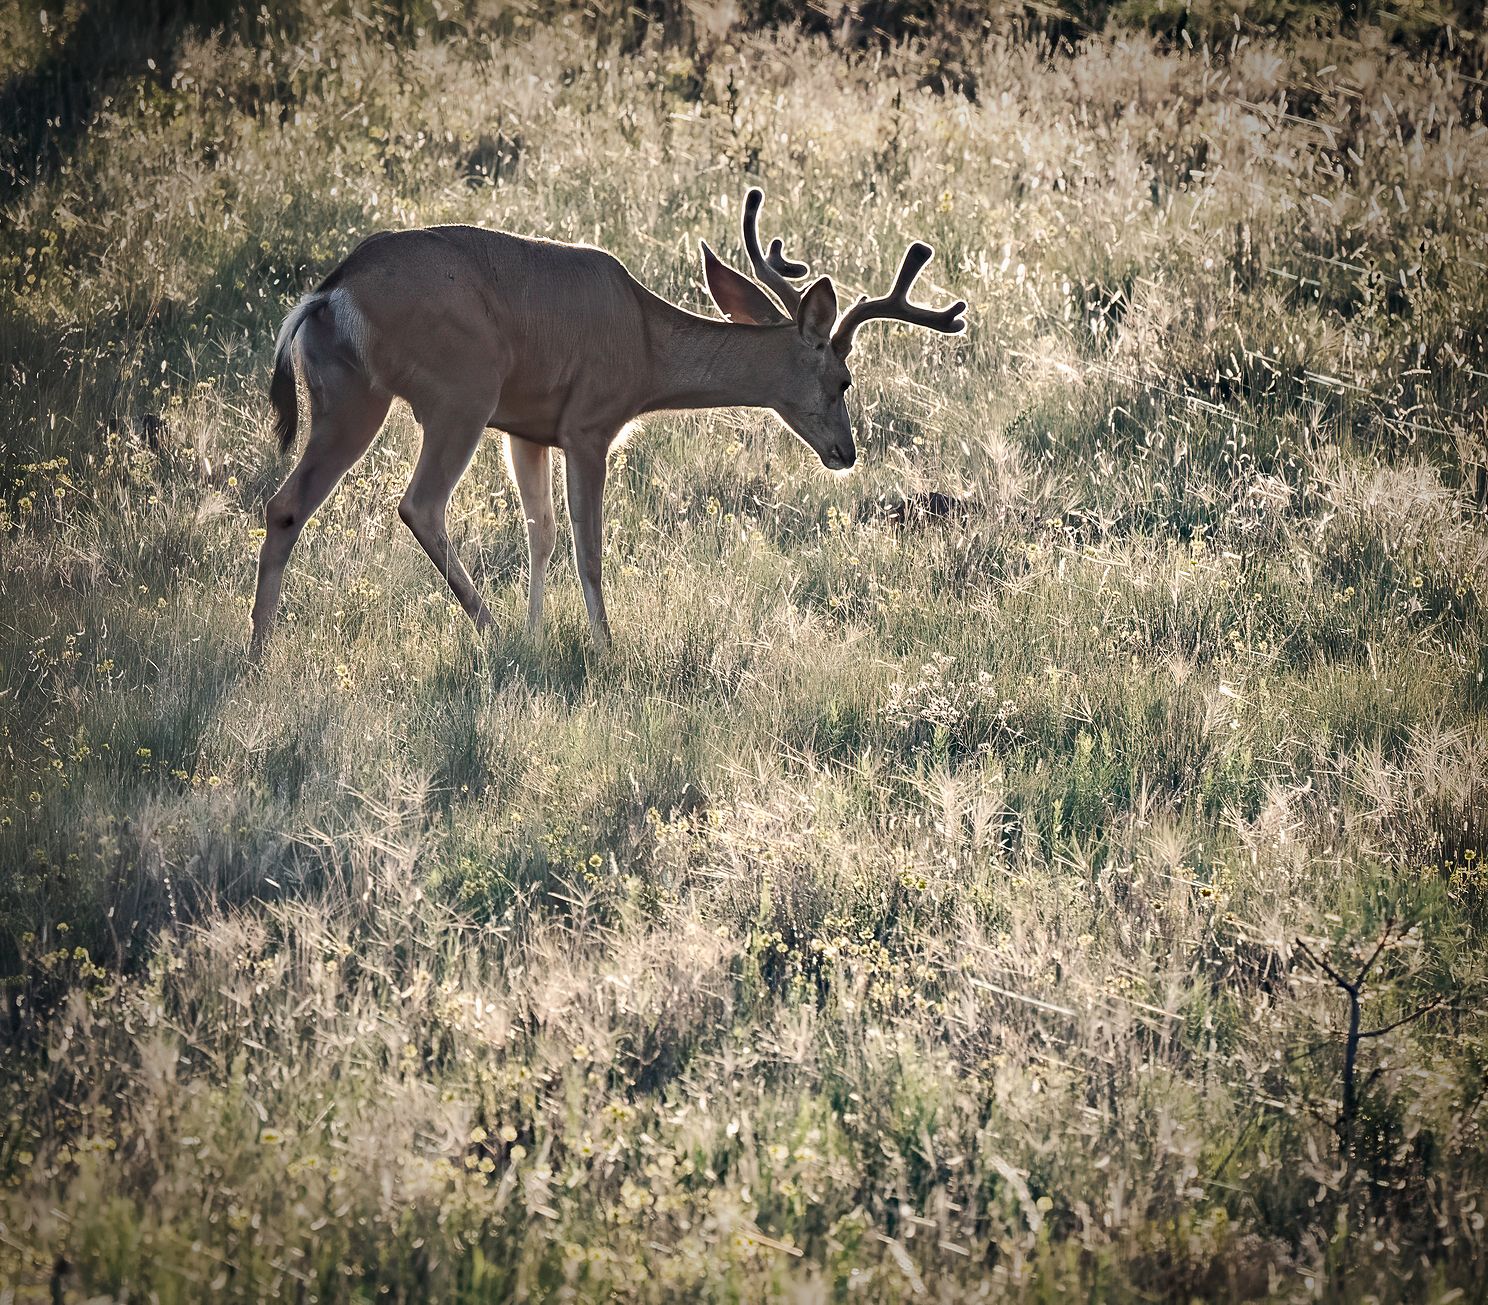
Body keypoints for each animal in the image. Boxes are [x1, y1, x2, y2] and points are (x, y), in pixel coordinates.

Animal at [249, 188, 966, 658]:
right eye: (843, 380)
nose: (846, 452)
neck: (645, 351)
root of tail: (331, 290)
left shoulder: (527, 428)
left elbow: (538, 533)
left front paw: (539, 632)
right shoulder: (588, 425)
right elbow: (587, 547)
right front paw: (602, 646)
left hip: (347, 391)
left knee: (285, 505)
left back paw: (258, 652)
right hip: (460, 389)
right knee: (418, 504)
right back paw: (491, 630)